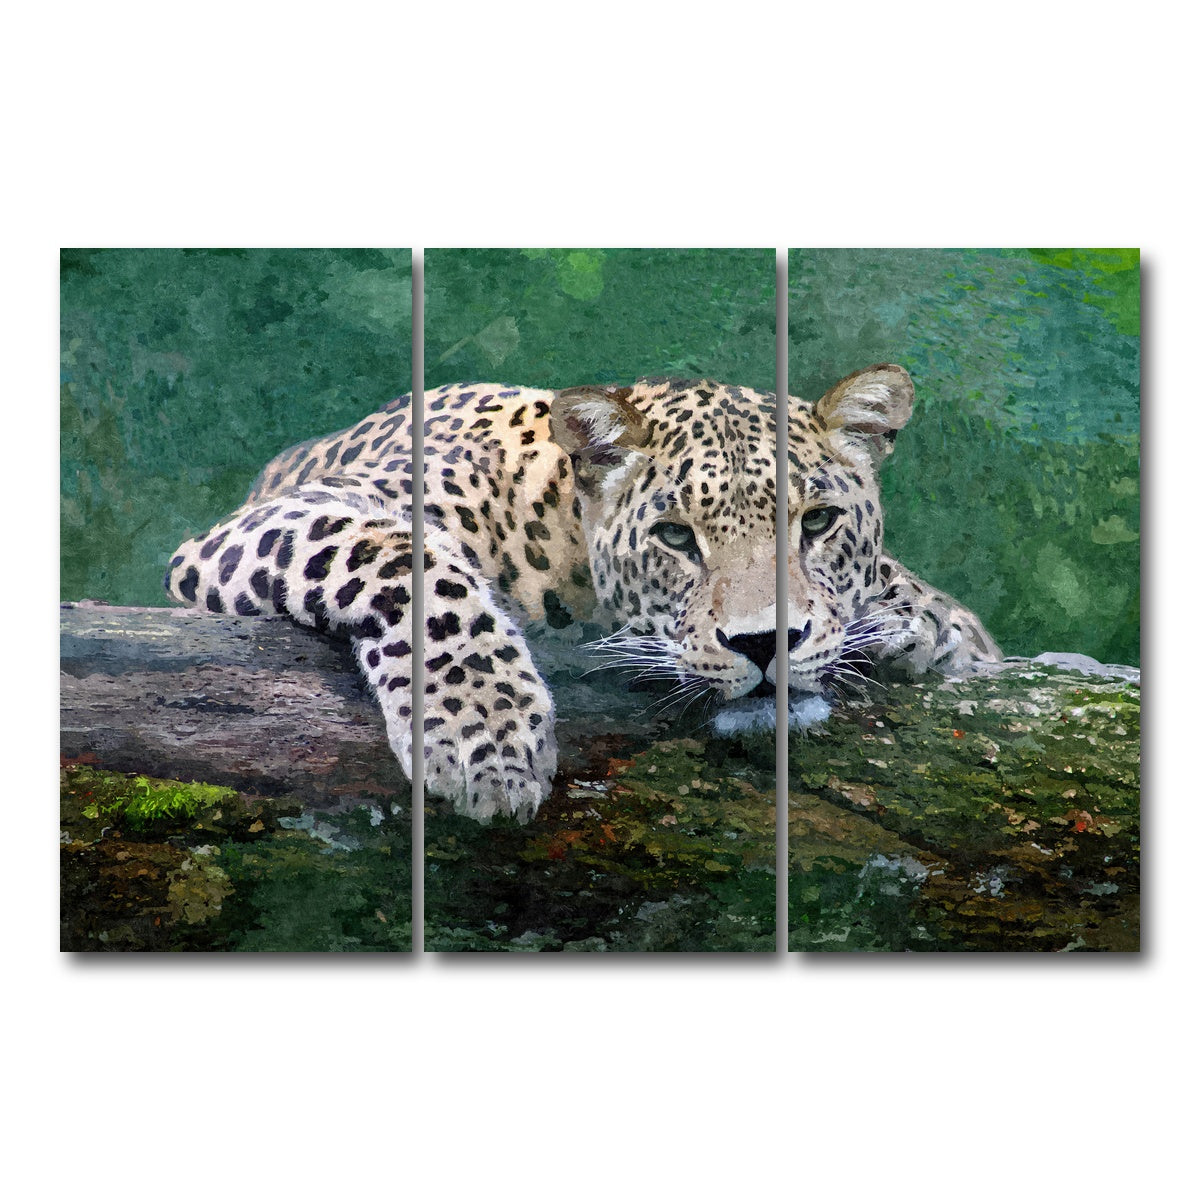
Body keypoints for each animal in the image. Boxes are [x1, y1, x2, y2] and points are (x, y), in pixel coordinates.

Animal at [165, 363, 1001, 823]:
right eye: (674, 537)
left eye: (819, 522)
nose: (768, 644)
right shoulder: (277, 521)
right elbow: (413, 564)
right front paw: (487, 739)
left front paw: (921, 624)